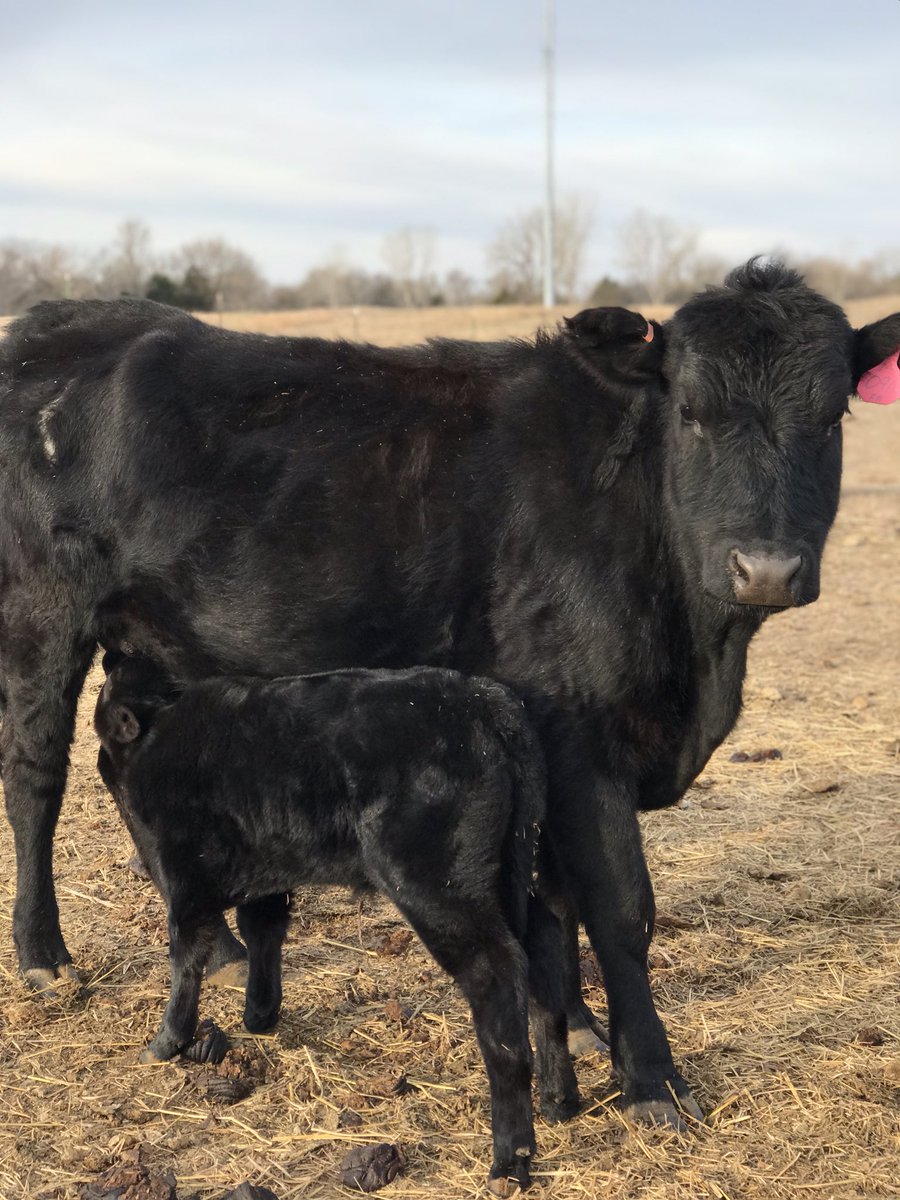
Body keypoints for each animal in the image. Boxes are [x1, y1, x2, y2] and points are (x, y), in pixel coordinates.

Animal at [1, 260, 897, 1130]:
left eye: (832, 417)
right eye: (691, 412)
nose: (767, 569)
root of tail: (56, 321)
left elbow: (554, 903)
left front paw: (574, 1025)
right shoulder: (577, 739)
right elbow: (619, 911)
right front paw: (651, 1079)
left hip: (152, 644)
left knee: (126, 767)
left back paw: (217, 945)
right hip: (40, 615)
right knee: (36, 777)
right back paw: (43, 955)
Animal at [94, 654, 576, 1192]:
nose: (102, 770)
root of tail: (483, 701)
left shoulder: (186, 876)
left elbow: (186, 956)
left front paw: (166, 1041)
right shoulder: (265, 870)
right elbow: (262, 929)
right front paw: (259, 1016)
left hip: (441, 886)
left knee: (497, 974)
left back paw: (510, 1159)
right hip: (512, 872)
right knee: (544, 953)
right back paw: (559, 1099)